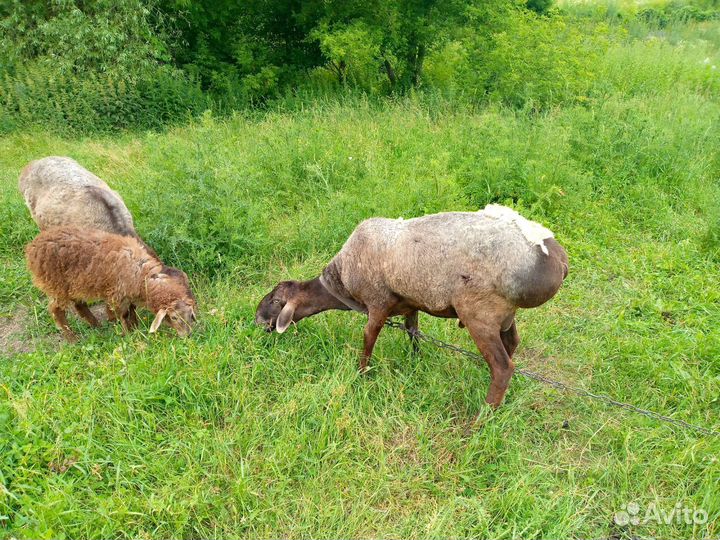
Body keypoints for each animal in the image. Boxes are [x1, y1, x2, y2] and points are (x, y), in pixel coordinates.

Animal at [26, 226, 197, 342]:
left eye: (190, 315)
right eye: (174, 317)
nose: (187, 336)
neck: (142, 276)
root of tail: (32, 247)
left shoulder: (128, 293)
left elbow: (131, 310)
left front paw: (135, 327)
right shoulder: (118, 294)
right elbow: (123, 315)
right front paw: (129, 334)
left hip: (74, 284)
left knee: (79, 304)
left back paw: (96, 325)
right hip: (56, 285)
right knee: (56, 310)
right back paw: (72, 338)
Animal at [256, 204, 568, 411]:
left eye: (275, 301)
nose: (257, 320)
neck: (341, 280)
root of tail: (556, 261)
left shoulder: (377, 304)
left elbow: (368, 339)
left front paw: (361, 375)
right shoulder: (410, 303)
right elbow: (413, 331)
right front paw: (417, 361)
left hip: (479, 312)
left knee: (503, 368)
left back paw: (481, 419)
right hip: (504, 314)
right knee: (511, 344)